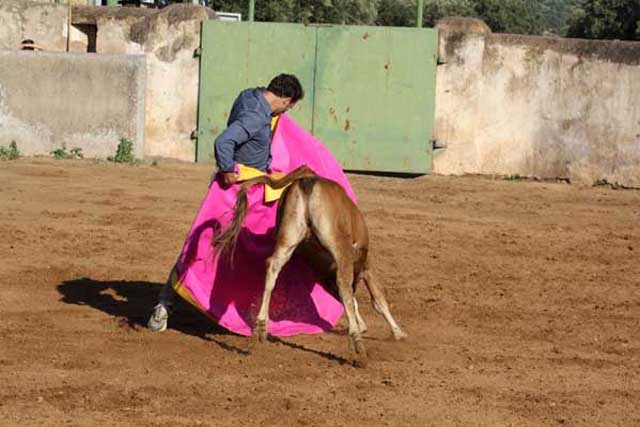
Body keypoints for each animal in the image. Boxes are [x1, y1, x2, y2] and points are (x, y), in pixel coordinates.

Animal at [214, 166, 404, 368]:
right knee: (344, 282)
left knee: (273, 266)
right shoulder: (365, 266)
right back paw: (358, 347)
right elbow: (377, 300)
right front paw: (398, 333)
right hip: (339, 246)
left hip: (288, 238)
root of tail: (308, 181)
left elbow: (351, 301)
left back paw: (260, 329)